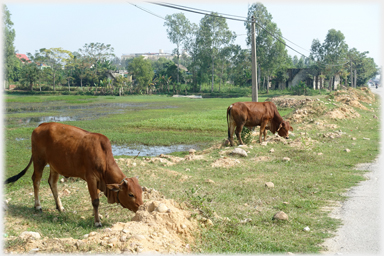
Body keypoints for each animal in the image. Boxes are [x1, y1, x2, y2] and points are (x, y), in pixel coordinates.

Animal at [4, 123, 142, 227]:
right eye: (130, 194)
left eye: (141, 192)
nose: (141, 208)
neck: (103, 156)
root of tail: (40, 125)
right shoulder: (91, 178)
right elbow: (95, 201)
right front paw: (97, 222)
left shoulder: (98, 181)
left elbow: (96, 198)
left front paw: (97, 215)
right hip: (39, 160)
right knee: (36, 180)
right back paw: (38, 205)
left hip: (54, 165)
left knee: (52, 182)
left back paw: (60, 207)